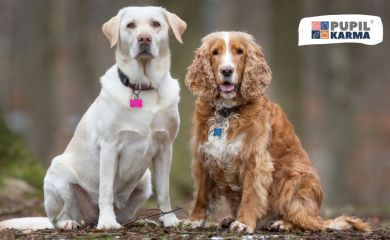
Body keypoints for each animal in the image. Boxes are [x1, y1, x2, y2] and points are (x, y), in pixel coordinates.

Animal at [0, 6, 186, 231]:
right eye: (130, 25)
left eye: (156, 24)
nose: (144, 38)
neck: (143, 87)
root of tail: (89, 218)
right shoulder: (110, 145)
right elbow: (106, 190)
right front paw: (107, 223)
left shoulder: (165, 147)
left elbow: (164, 192)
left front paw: (169, 219)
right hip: (59, 173)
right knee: (59, 216)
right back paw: (71, 222)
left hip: (145, 179)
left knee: (125, 214)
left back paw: (138, 220)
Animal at [181, 31, 370, 233]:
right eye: (215, 52)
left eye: (239, 51)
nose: (226, 71)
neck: (227, 112)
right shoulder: (203, 156)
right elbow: (201, 195)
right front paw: (194, 220)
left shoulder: (254, 159)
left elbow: (250, 194)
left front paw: (244, 223)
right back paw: (231, 219)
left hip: (293, 178)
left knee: (305, 221)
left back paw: (281, 223)